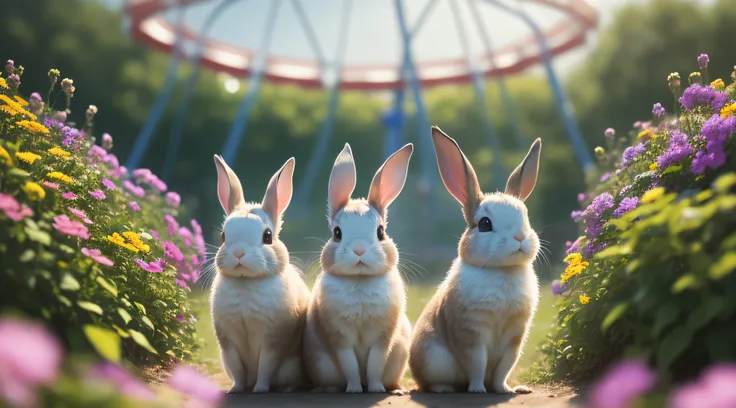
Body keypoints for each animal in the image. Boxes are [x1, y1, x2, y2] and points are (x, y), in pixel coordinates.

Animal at [210, 155, 310, 394]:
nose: (239, 253)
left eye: (267, 236)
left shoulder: (273, 340)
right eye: (223, 236)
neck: (246, 282)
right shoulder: (228, 342)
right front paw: (235, 390)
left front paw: (260, 390)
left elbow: (266, 365)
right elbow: (237, 369)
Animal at [300, 144, 412, 396]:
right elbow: (350, 364)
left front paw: (376, 390)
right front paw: (353, 390)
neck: (360, 280)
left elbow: (374, 365)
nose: (359, 250)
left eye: (381, 232)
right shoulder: (339, 337)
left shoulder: (382, 337)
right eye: (337, 233)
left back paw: (396, 390)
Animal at [412, 127, 544, 396]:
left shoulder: (514, 336)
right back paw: (446, 390)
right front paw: (477, 390)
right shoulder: (471, 333)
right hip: (434, 361)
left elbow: (504, 366)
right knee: (432, 383)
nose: (520, 238)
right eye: (485, 224)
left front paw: (504, 390)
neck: (502, 270)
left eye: (526, 217)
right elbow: (477, 362)